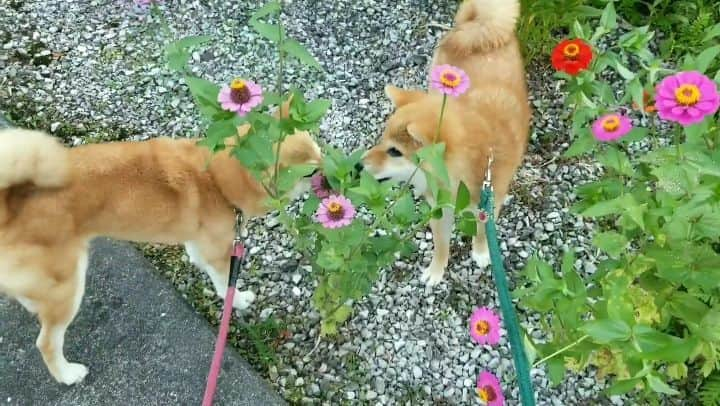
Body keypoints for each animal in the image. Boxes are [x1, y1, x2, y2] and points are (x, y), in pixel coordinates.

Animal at [362, 0, 532, 286]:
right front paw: (436, 270)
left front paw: (481, 252)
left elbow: (482, 232)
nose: (358, 164)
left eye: (395, 151)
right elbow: (441, 244)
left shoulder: (489, 202)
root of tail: (475, 26)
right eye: (381, 139)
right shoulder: (439, 209)